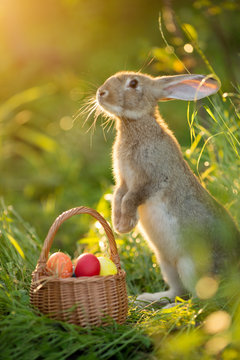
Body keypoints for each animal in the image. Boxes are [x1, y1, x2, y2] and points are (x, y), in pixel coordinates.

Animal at [95, 71, 240, 302]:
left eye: (133, 84)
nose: (101, 92)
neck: (134, 123)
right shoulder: (123, 181)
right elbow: (118, 196)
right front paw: (117, 224)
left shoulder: (152, 180)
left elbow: (131, 198)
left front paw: (126, 225)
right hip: (166, 264)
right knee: (177, 291)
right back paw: (147, 298)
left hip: (190, 265)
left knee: (199, 297)